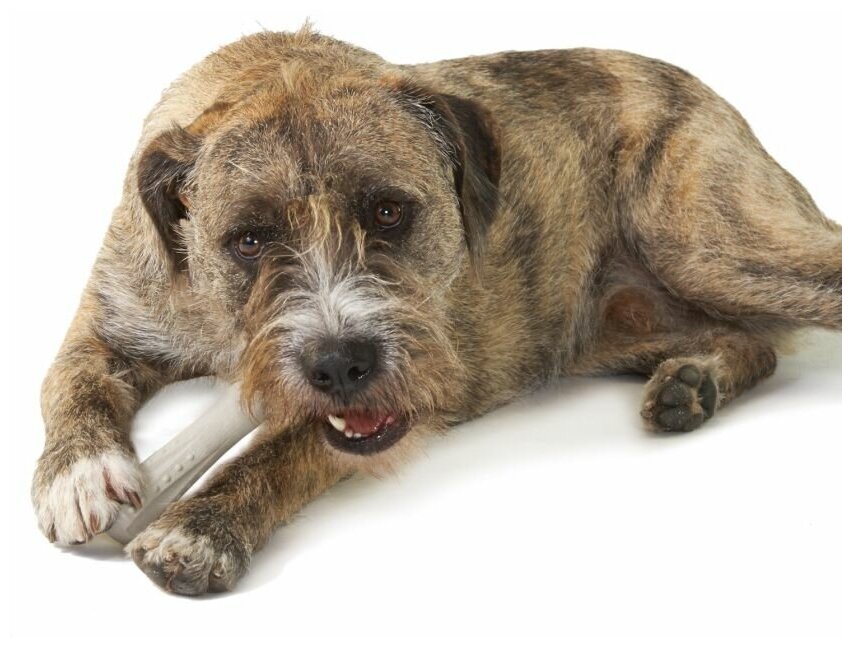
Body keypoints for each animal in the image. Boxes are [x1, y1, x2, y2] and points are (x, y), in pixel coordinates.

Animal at [31, 27, 842, 595]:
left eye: (389, 210)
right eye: (249, 239)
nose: (341, 365)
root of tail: (700, 84)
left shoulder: (415, 385)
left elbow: (287, 445)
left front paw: (200, 527)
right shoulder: (115, 311)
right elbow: (66, 377)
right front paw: (81, 474)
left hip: (711, 245)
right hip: (611, 326)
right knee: (756, 343)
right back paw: (692, 382)